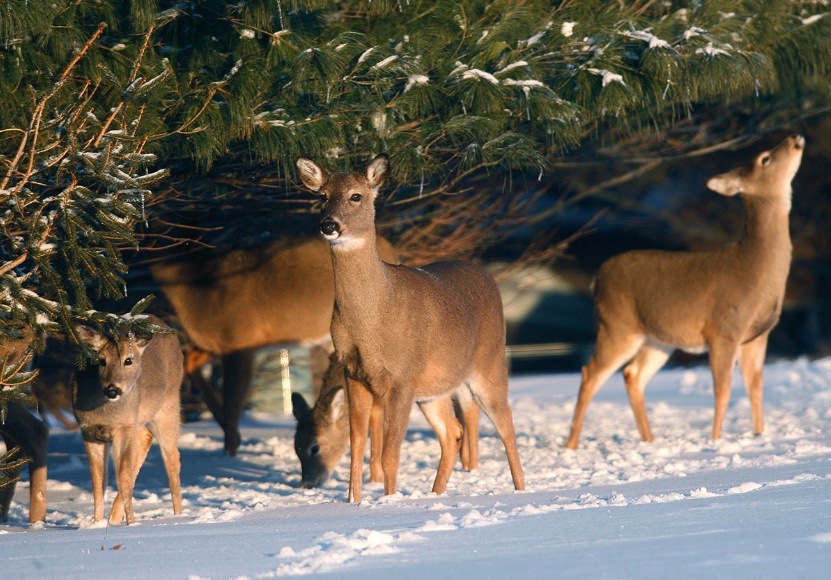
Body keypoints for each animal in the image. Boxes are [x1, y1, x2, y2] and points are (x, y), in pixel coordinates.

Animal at [73, 318, 184, 524]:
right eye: (102, 361)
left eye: (128, 360)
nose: (112, 390)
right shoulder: (88, 430)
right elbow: (98, 482)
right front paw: (96, 524)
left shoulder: (124, 427)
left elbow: (123, 478)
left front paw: (131, 524)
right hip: (138, 420)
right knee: (146, 438)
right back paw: (113, 519)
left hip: (168, 404)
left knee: (172, 458)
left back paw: (178, 516)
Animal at [296, 154, 524, 502]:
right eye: (321, 196)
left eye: (356, 195)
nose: (329, 225)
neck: (372, 321)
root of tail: (486, 274)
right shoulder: (354, 373)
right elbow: (357, 447)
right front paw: (353, 503)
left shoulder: (401, 376)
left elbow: (390, 454)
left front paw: (389, 502)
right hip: (433, 390)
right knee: (452, 432)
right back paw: (435, 495)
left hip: (490, 363)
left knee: (507, 427)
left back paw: (521, 492)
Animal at [564, 135, 808, 448]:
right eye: (764, 158)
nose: (794, 138)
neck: (754, 270)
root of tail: (596, 279)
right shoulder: (723, 330)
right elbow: (723, 391)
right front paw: (715, 441)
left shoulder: (758, 336)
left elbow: (755, 389)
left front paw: (759, 435)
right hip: (617, 325)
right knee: (590, 373)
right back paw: (571, 446)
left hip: (657, 339)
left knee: (633, 375)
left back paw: (650, 440)